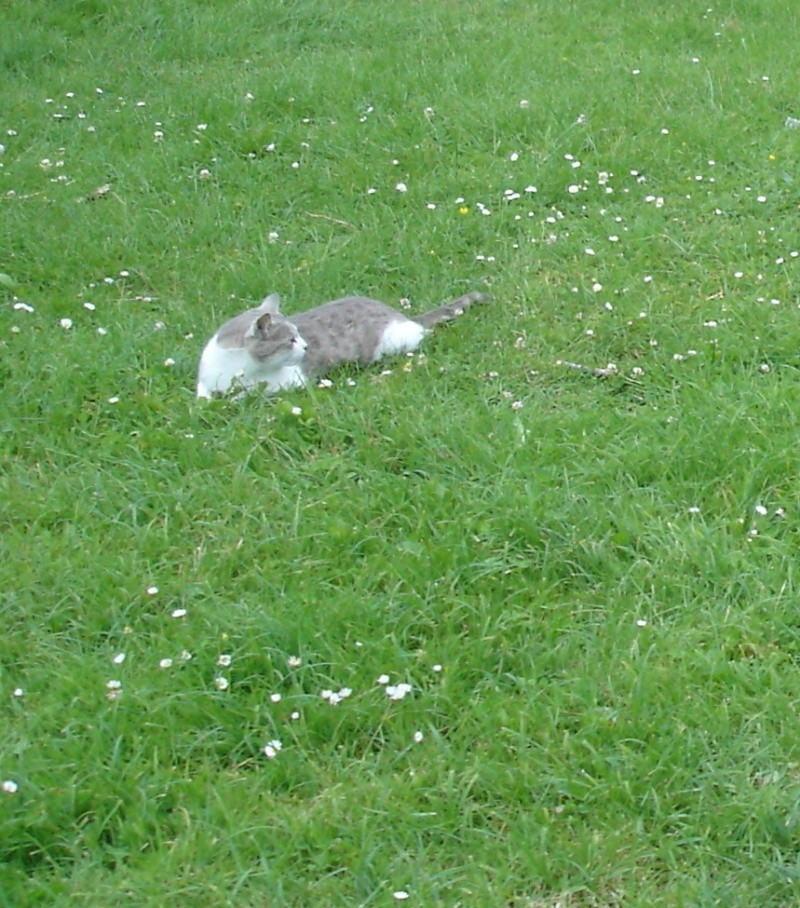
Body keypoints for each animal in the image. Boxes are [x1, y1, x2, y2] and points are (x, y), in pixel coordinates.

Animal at [197, 290, 490, 398]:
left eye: (299, 336)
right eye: (291, 339)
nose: (305, 347)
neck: (236, 367)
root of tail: (401, 315)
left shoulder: (290, 382)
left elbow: (251, 394)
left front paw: (235, 398)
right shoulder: (204, 378)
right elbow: (203, 395)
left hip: (394, 342)